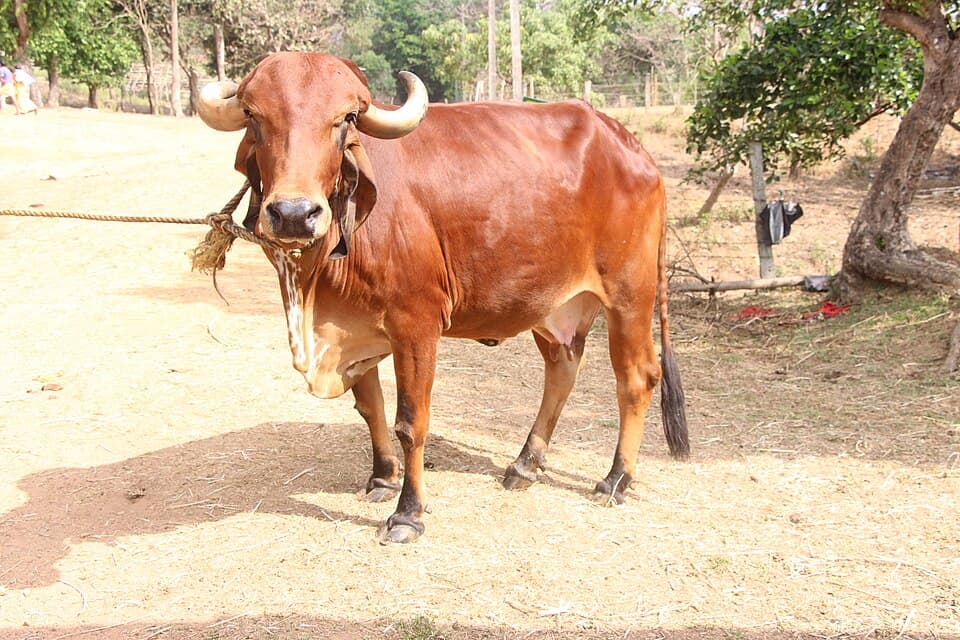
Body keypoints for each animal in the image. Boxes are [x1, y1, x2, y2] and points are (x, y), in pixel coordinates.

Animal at [197, 52, 688, 544]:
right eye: (254, 116)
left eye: (345, 119)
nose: (294, 214)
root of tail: (631, 146)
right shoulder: (355, 328)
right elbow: (370, 408)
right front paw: (382, 478)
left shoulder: (416, 326)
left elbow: (410, 423)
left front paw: (408, 513)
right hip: (554, 307)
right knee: (563, 370)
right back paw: (524, 465)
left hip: (629, 296)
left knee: (637, 377)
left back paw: (615, 479)